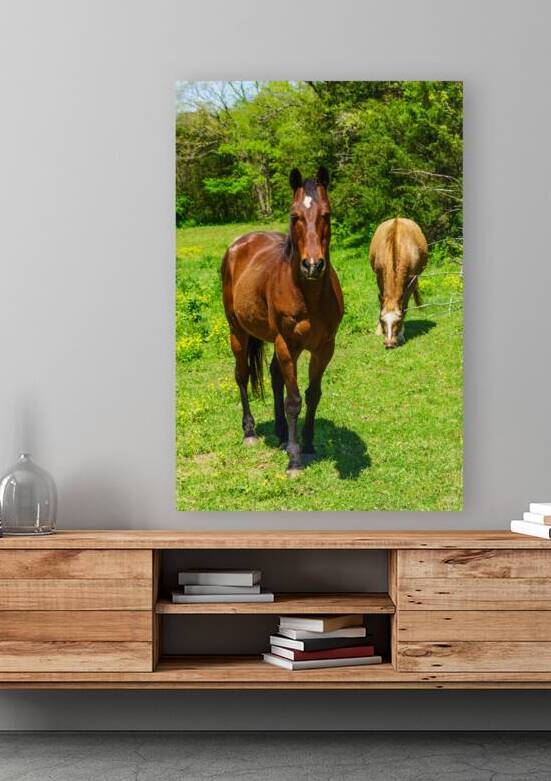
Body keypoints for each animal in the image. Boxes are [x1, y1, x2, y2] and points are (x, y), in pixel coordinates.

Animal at [221, 167, 344, 476]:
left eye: (326, 214)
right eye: (294, 215)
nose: (313, 265)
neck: (309, 294)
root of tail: (239, 244)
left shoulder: (324, 347)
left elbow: (313, 394)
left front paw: (307, 445)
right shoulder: (288, 345)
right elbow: (293, 401)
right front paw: (295, 461)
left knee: (275, 376)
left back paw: (280, 434)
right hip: (238, 333)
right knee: (242, 375)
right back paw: (250, 432)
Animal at [369, 217, 428, 348]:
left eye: (398, 320)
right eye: (382, 320)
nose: (389, 343)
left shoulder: (412, 279)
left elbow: (404, 305)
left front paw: (400, 335)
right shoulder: (379, 276)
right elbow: (382, 301)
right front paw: (379, 330)